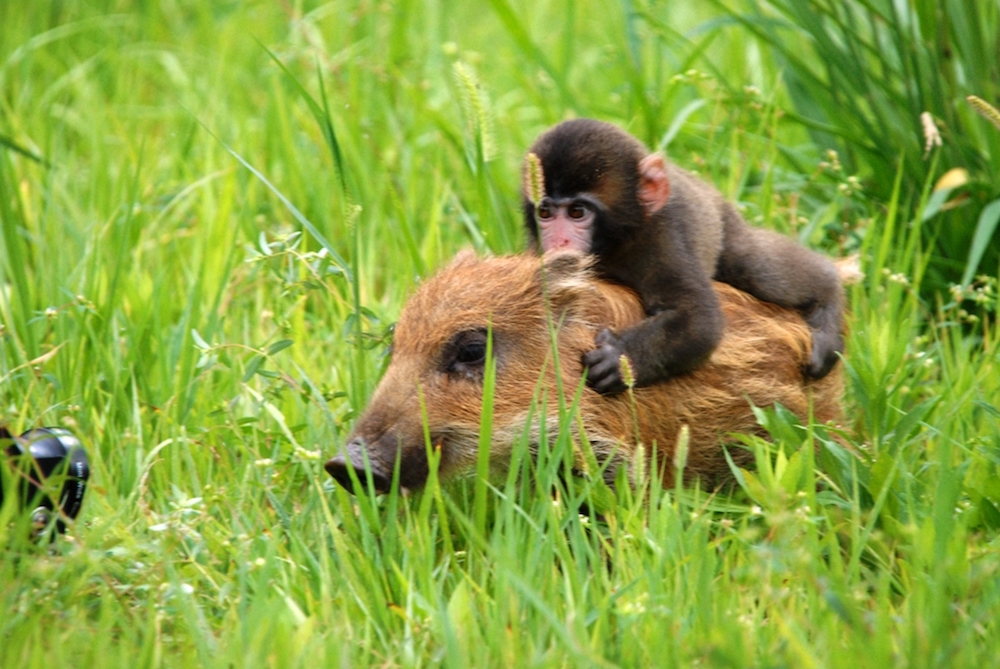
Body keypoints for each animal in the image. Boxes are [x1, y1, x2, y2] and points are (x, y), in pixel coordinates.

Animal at [524, 118, 844, 394]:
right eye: (545, 212)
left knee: (754, 265)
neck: (612, 244)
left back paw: (827, 293)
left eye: (577, 212)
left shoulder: (662, 238)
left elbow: (699, 321)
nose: (559, 241)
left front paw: (619, 359)